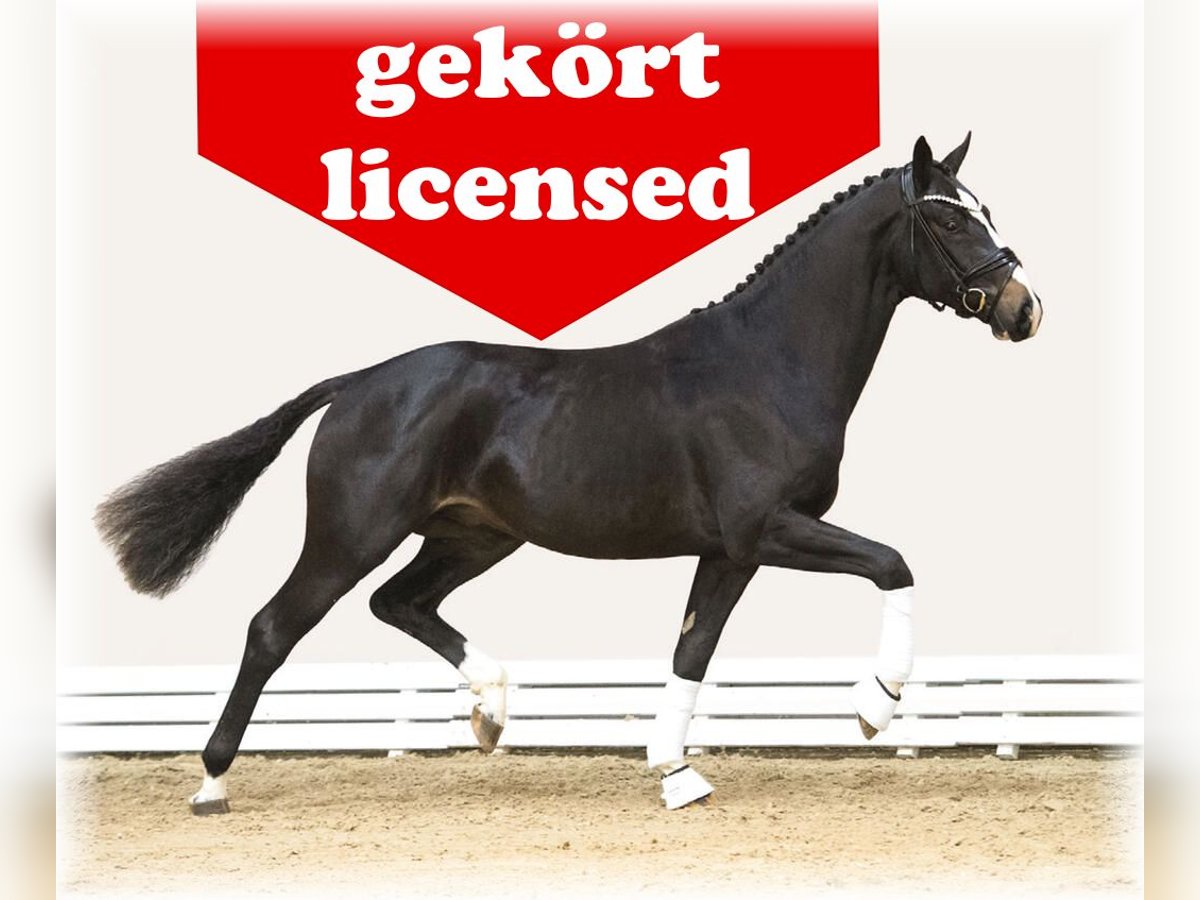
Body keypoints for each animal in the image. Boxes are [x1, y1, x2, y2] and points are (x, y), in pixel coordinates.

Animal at [96, 134, 1043, 814]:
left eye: (985, 209)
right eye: (950, 221)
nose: (1024, 309)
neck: (769, 364)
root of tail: (357, 382)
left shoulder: (729, 550)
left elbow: (693, 646)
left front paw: (675, 773)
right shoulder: (765, 529)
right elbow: (893, 563)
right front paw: (874, 705)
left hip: (475, 537)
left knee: (401, 603)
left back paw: (491, 709)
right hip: (351, 535)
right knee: (273, 628)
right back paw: (213, 783)